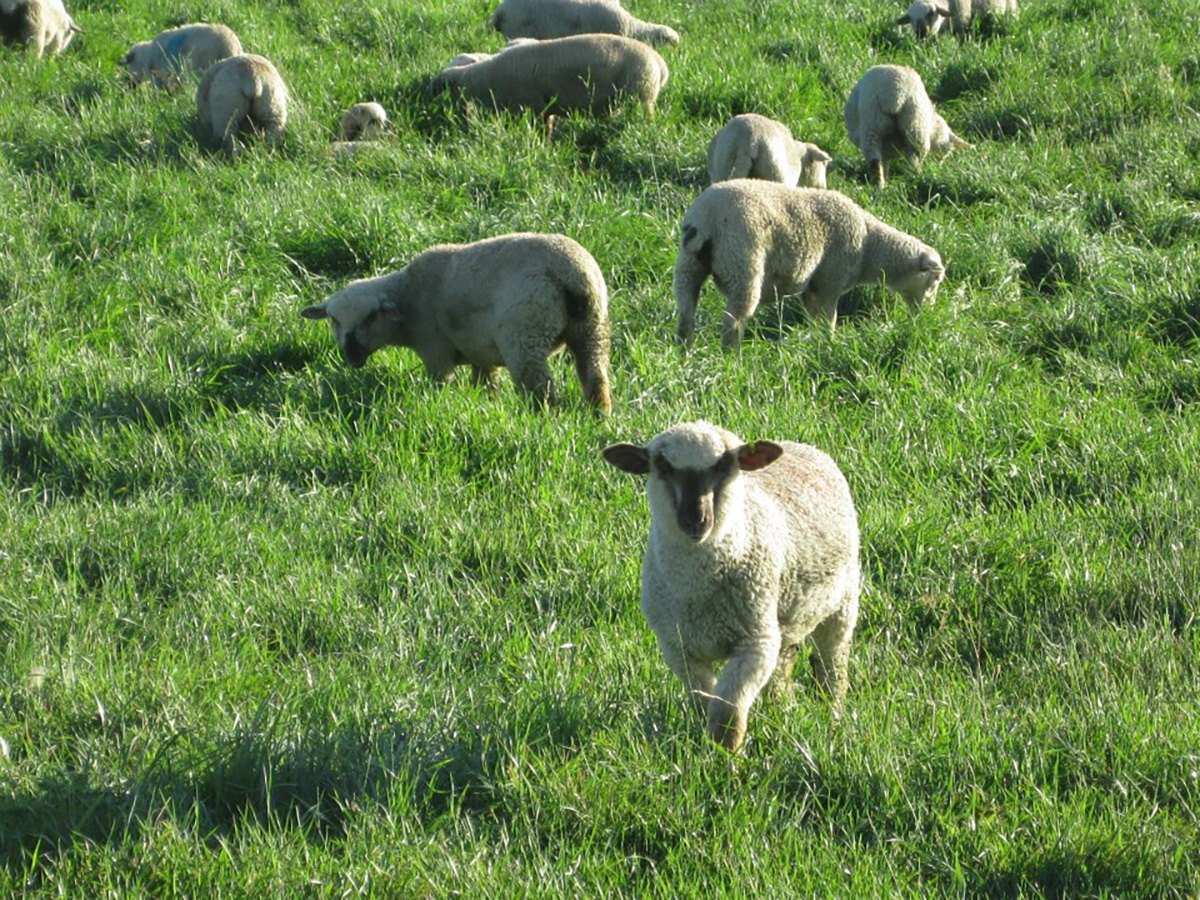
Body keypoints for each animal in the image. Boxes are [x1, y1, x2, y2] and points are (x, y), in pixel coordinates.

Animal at [300, 233, 613, 414]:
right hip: (592, 327)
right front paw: (487, 405)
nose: (352, 354)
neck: (409, 299)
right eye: (333, 319)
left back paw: (541, 417)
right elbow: (486, 384)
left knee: (539, 387)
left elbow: (442, 384)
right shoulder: (481, 352)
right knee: (595, 376)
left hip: (526, 333)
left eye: (372, 315)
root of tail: (572, 274)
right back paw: (600, 416)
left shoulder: (435, 350)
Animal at [602, 421, 861, 753]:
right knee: (784, 663)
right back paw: (780, 706)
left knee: (833, 665)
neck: (697, 591)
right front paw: (705, 747)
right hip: (785, 616)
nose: (695, 521)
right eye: (663, 466)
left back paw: (833, 714)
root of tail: (801, 446)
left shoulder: (754, 644)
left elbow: (727, 713)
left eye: (724, 465)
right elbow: (704, 702)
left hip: (843, 602)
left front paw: (726, 757)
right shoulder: (678, 647)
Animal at [673, 181, 945, 347]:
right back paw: (733, 358)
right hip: (743, 265)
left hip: (688, 265)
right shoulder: (829, 284)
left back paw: (685, 353)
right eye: (935, 281)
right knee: (733, 322)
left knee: (686, 317)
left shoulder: (812, 289)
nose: (926, 316)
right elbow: (829, 322)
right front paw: (830, 345)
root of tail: (707, 217)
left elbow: (817, 320)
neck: (869, 246)